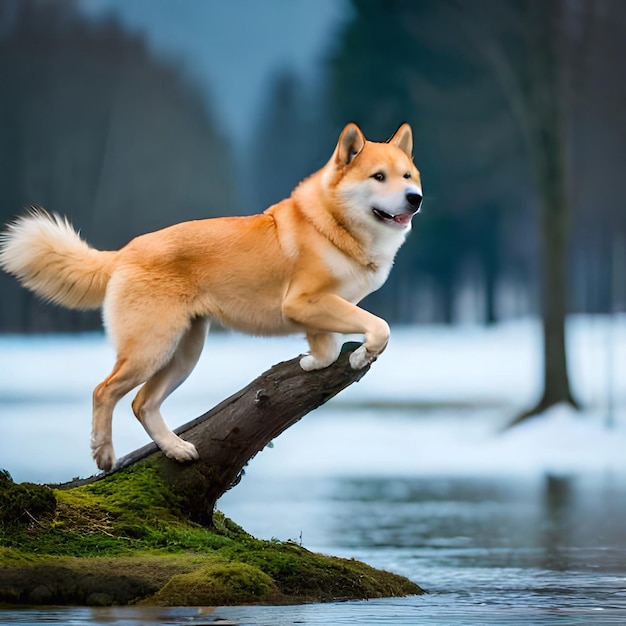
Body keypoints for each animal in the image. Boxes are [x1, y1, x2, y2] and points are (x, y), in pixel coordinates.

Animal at [0, 123, 422, 468]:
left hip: (184, 354)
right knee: (103, 391)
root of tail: (124, 252)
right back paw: (104, 455)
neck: (333, 225)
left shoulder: (316, 312)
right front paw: (362, 356)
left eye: (407, 176)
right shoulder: (304, 302)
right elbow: (379, 327)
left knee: (142, 403)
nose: (414, 197)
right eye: (379, 177)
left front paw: (313, 363)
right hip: (150, 348)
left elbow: (330, 348)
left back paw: (175, 449)